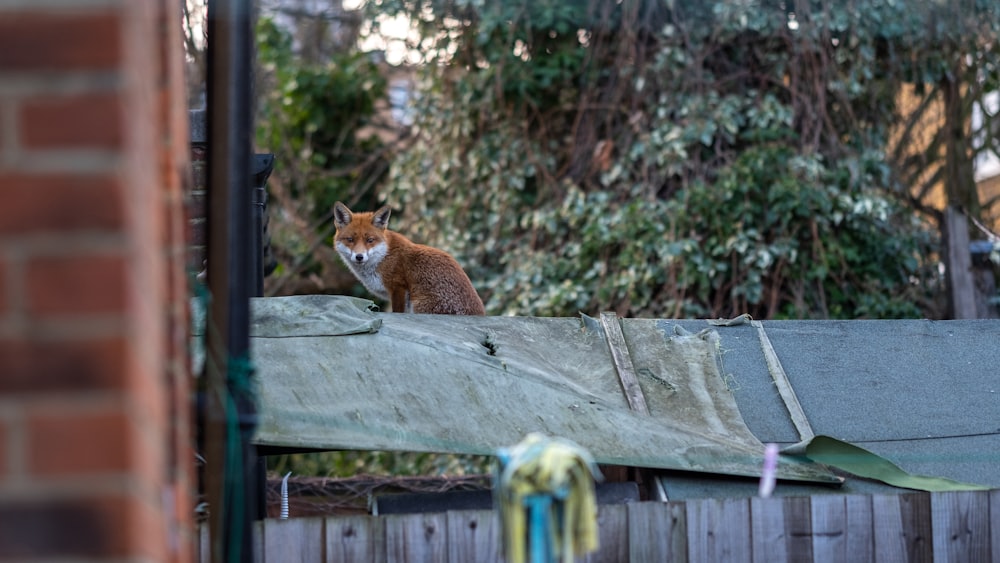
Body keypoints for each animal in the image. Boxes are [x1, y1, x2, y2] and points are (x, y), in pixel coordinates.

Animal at [332, 203, 484, 318]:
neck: (384, 256)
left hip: (417, 305)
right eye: (350, 240)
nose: (359, 256)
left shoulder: (399, 287)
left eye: (370, 240)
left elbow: (397, 312)